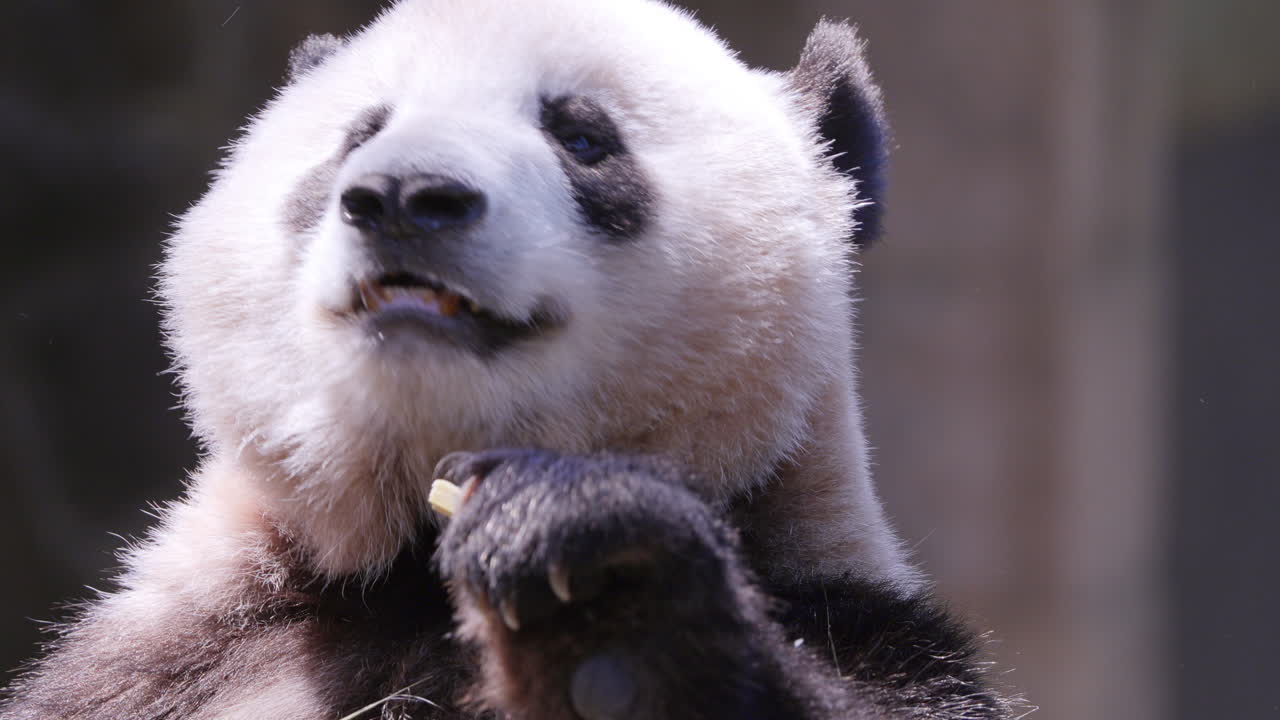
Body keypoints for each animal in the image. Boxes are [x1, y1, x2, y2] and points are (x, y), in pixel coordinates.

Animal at [2, 1, 1019, 718]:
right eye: (360, 133)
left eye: (582, 135)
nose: (405, 196)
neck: (411, 557)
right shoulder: (180, 656)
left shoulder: (858, 620)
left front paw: (591, 574)